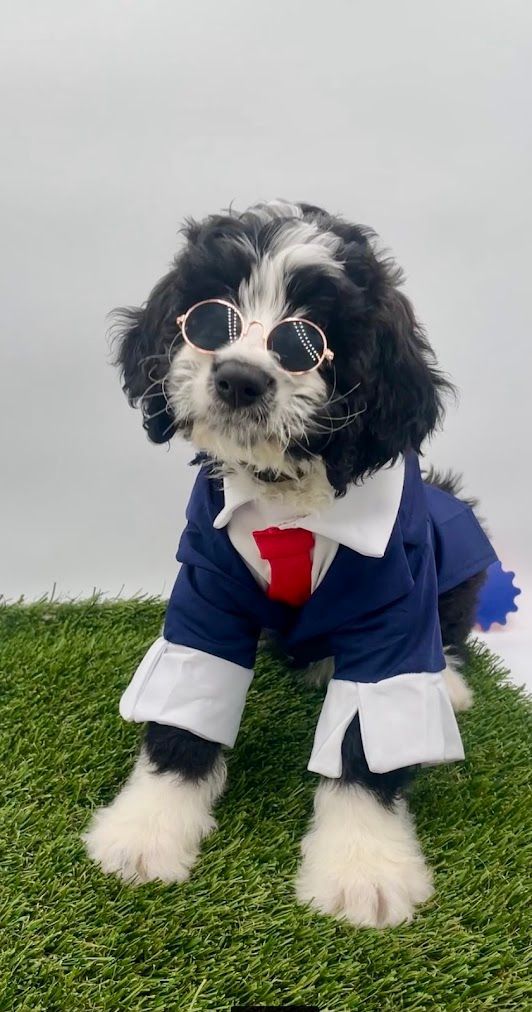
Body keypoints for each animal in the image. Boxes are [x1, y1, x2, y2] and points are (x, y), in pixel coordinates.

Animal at [82, 201, 495, 926]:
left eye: (311, 337)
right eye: (209, 314)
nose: (239, 378)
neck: (286, 493)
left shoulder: (395, 601)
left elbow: (369, 735)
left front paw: (364, 870)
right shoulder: (205, 585)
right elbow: (185, 703)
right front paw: (147, 829)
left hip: (457, 545)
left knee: (448, 631)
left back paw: (448, 684)